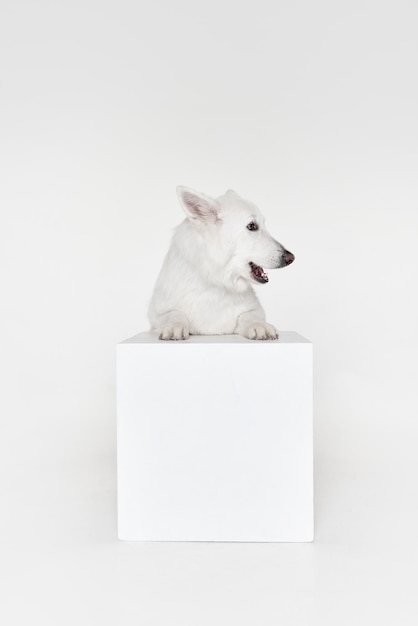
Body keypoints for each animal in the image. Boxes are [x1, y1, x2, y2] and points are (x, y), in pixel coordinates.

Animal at [149, 186, 296, 338]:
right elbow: (174, 313)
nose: (291, 258)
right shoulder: (157, 314)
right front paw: (174, 326)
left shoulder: (254, 310)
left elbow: (249, 316)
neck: (216, 280)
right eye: (252, 226)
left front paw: (259, 325)